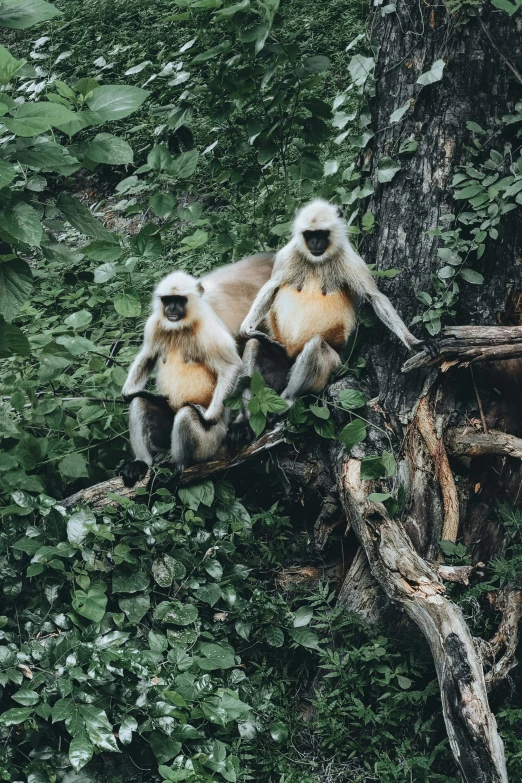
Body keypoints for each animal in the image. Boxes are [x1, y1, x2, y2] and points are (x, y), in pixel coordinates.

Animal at [232, 198, 434, 428]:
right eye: (309, 235)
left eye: (322, 234)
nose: (315, 243)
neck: (317, 261)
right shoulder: (288, 255)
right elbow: (271, 287)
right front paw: (247, 328)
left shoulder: (350, 259)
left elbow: (375, 297)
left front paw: (414, 342)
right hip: (279, 356)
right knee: (255, 344)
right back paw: (245, 415)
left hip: (333, 366)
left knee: (315, 345)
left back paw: (288, 400)